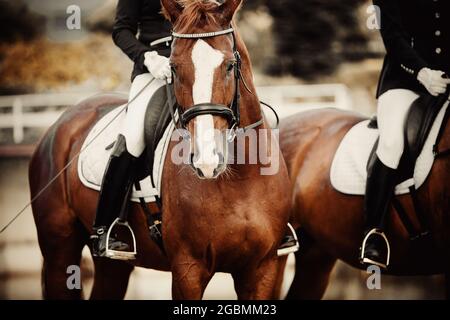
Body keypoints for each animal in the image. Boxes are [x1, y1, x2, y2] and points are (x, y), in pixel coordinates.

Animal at [29, 0, 288, 300]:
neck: (240, 180)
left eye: (229, 65)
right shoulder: (189, 269)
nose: (207, 162)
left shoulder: (262, 270)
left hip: (113, 266)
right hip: (59, 249)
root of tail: (61, 123)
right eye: (173, 68)